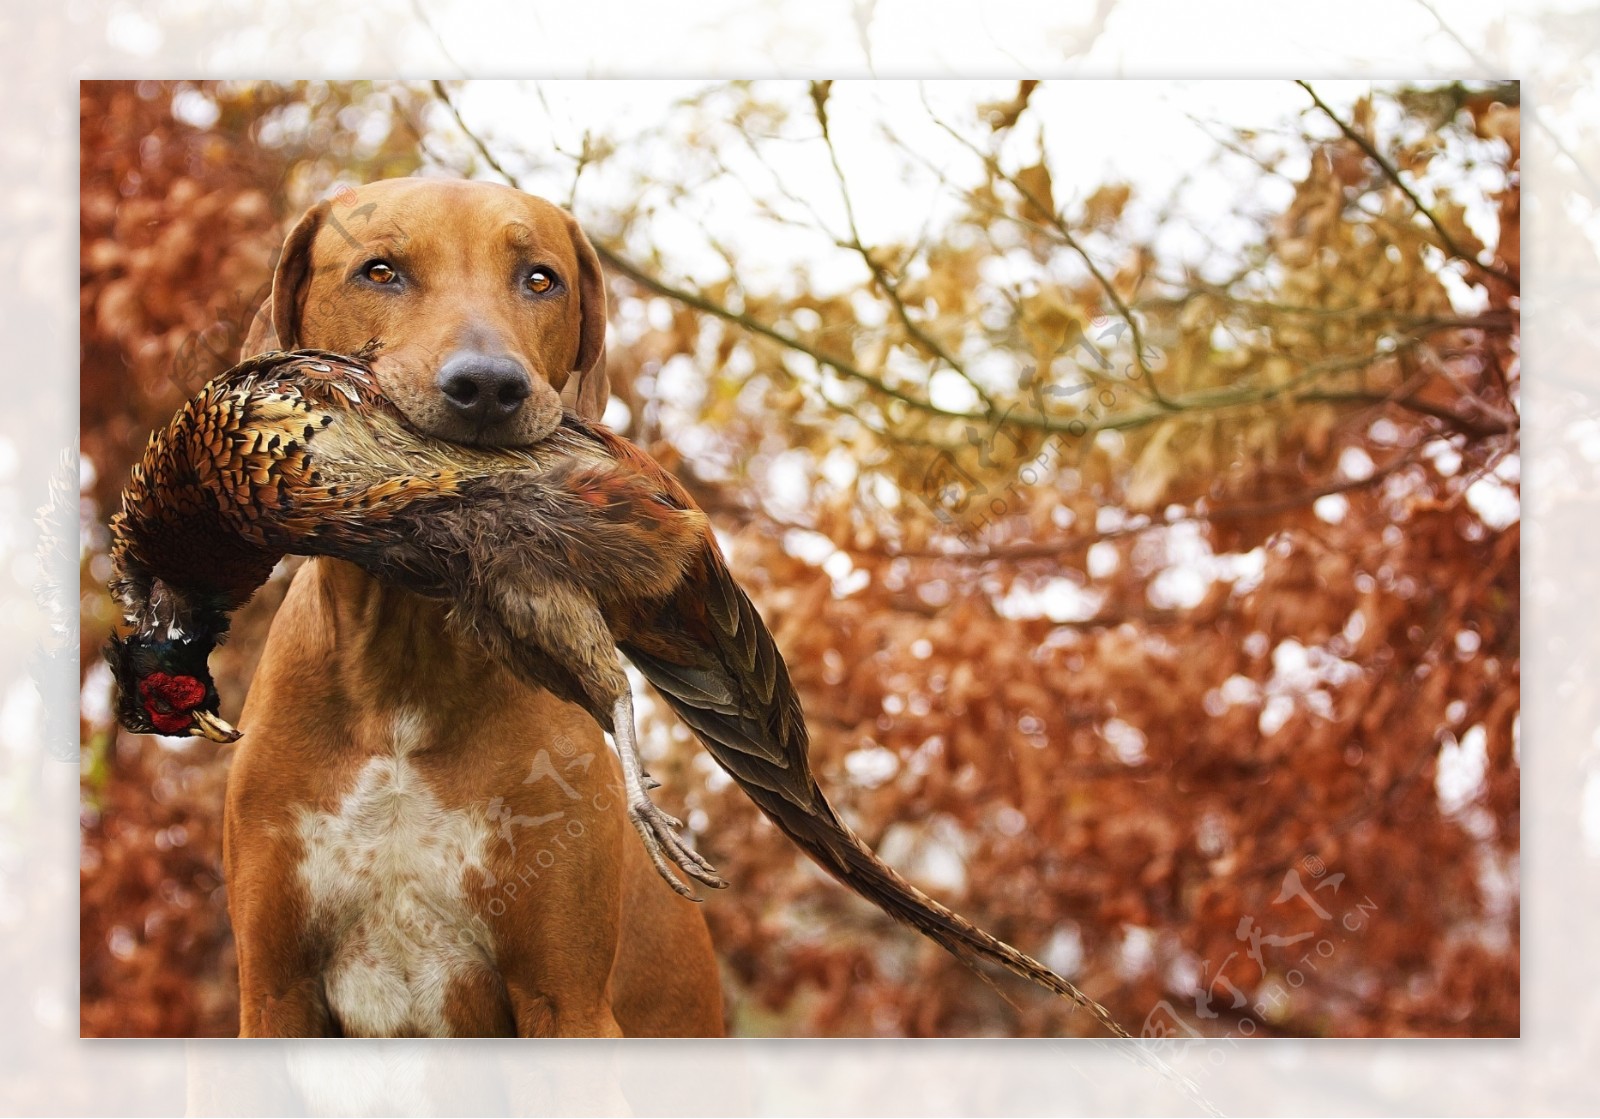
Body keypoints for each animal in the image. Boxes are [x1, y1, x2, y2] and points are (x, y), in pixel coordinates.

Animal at [225, 176, 726, 1043]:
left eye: (540, 279)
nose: (488, 386)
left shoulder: (568, 1000)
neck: (403, 667)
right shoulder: (273, 994)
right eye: (380, 270)